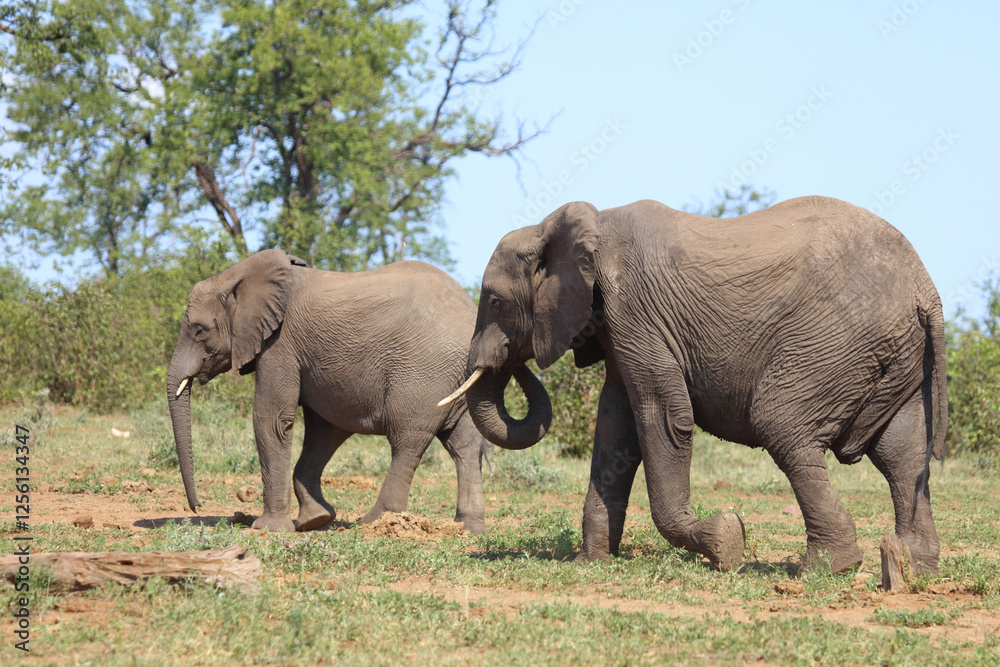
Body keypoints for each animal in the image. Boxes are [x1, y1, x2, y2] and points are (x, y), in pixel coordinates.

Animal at [167, 249, 488, 534]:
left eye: (199, 331)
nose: (197, 506)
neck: (238, 276)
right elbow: (324, 429)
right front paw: (315, 520)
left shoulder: (280, 345)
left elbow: (272, 419)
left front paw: (270, 528)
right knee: (464, 447)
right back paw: (467, 529)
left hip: (423, 372)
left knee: (406, 440)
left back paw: (373, 522)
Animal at [440, 196, 947, 574]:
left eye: (494, 301)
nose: (511, 355)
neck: (580, 227)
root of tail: (926, 290)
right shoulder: (621, 326)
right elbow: (616, 428)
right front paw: (590, 562)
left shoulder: (636, 310)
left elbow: (663, 418)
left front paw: (725, 541)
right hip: (896, 354)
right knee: (902, 453)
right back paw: (912, 565)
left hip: (835, 338)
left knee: (783, 426)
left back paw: (826, 568)